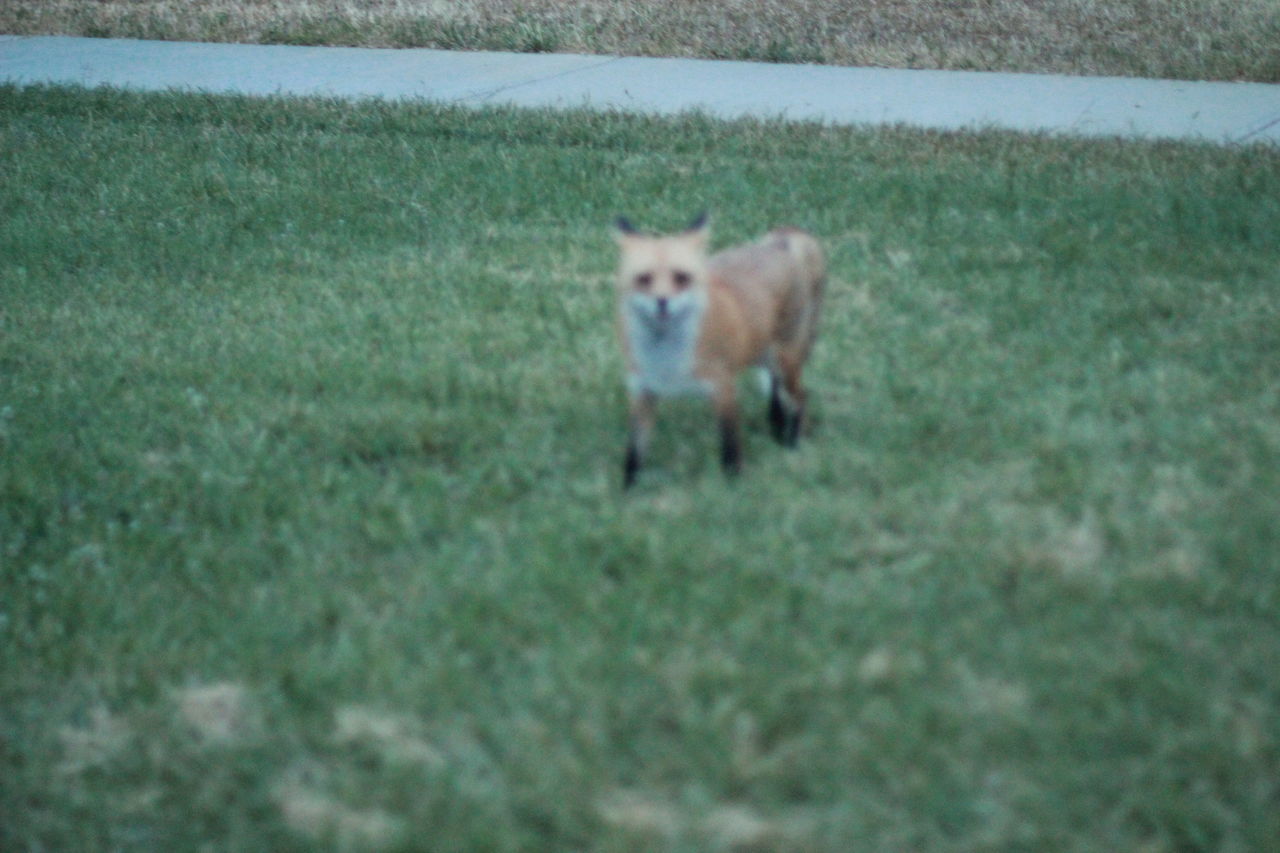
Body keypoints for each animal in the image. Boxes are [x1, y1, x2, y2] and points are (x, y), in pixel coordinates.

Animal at [611, 212, 829, 484]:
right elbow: (633, 453)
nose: (662, 301)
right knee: (776, 392)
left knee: (800, 397)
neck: (667, 359)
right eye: (643, 279)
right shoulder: (642, 391)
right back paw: (777, 427)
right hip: (763, 357)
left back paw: (792, 444)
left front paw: (732, 484)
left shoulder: (722, 388)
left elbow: (730, 447)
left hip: (784, 360)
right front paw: (627, 489)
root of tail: (780, 243)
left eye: (681, 278)